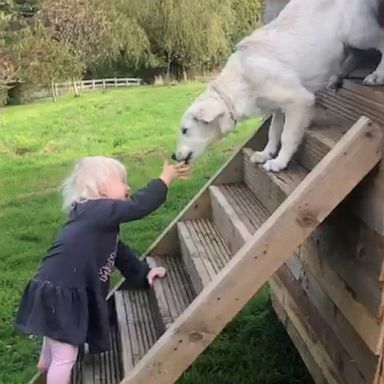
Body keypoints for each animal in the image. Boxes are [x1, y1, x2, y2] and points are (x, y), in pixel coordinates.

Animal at [173, 0, 384, 171]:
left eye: (184, 130)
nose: (173, 156)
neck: (241, 82)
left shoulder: (299, 101)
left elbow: (287, 136)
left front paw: (279, 163)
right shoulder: (278, 108)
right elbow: (273, 133)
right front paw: (266, 154)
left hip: (358, 33)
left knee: (379, 43)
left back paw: (376, 75)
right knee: (357, 54)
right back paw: (338, 77)